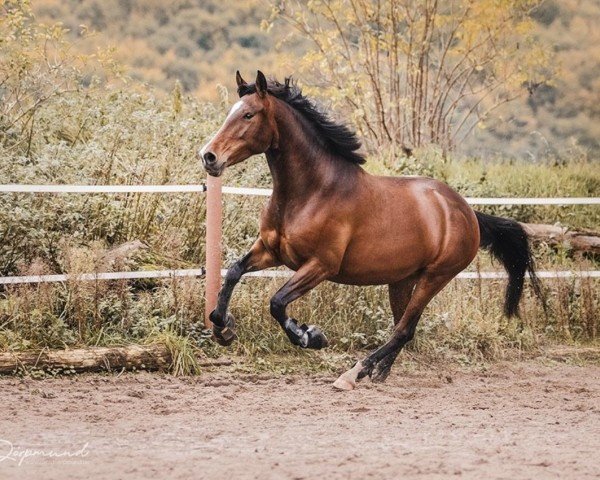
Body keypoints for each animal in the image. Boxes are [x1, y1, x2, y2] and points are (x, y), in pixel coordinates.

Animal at [198, 70, 544, 390]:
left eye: (248, 114)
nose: (209, 156)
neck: (311, 191)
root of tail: (466, 211)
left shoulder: (320, 265)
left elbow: (277, 302)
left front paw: (311, 336)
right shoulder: (271, 251)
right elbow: (233, 272)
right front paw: (223, 328)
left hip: (435, 277)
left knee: (403, 330)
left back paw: (354, 373)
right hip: (403, 280)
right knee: (403, 329)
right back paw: (377, 373)